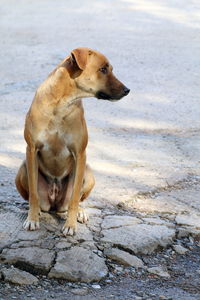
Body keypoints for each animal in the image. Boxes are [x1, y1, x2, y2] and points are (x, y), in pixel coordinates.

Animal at [14, 48, 129, 236]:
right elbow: (33, 194)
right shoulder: (31, 149)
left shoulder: (80, 154)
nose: (127, 90)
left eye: (109, 69)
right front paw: (32, 218)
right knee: (34, 195)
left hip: (88, 174)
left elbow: (75, 197)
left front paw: (71, 224)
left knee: (77, 198)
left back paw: (80, 212)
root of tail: (54, 202)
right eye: (103, 69)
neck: (61, 104)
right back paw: (38, 211)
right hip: (22, 170)